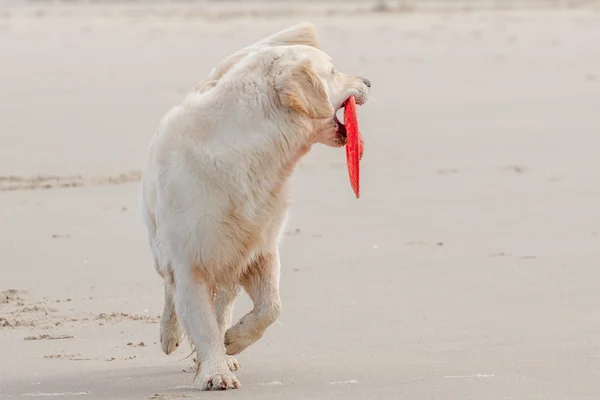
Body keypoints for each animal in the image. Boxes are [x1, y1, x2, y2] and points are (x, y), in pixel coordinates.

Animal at [142, 22, 370, 390]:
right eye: (333, 71)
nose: (369, 82)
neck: (250, 152)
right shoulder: (191, 261)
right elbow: (201, 321)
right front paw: (215, 372)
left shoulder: (258, 251)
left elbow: (270, 308)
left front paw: (232, 343)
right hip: (161, 244)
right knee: (169, 290)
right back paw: (169, 335)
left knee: (222, 304)